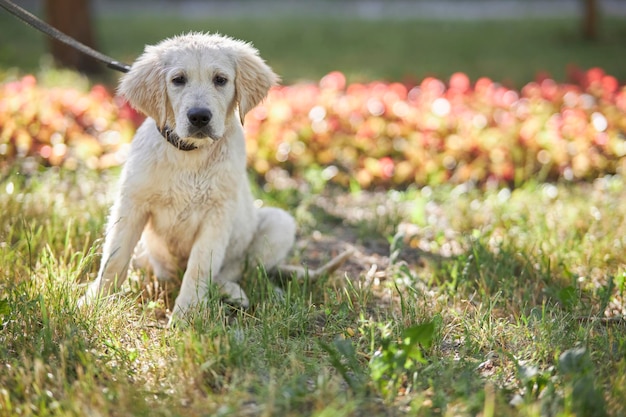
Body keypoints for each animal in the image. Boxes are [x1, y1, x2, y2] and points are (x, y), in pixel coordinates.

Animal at [80, 34, 294, 320]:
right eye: (178, 79)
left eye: (220, 80)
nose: (199, 117)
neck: (189, 153)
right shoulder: (132, 204)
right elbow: (114, 258)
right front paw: (93, 303)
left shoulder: (217, 214)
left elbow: (200, 266)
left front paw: (187, 315)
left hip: (280, 223)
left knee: (238, 271)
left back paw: (235, 292)